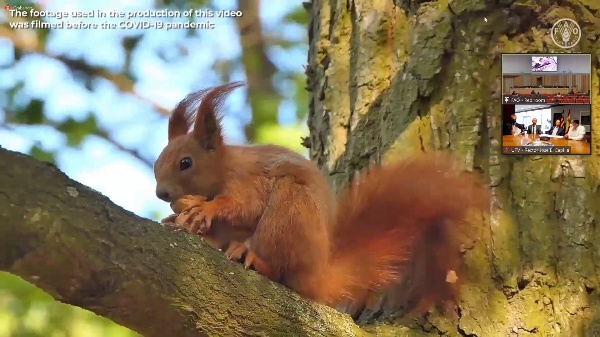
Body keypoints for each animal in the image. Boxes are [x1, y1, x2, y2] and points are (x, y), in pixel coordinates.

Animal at [152, 80, 490, 316]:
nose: (161, 193)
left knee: (278, 267)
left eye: (186, 162)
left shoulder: (246, 181)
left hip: (289, 211)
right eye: (156, 164)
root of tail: (319, 276)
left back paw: (254, 257)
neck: (223, 167)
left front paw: (204, 209)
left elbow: (244, 207)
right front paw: (178, 217)